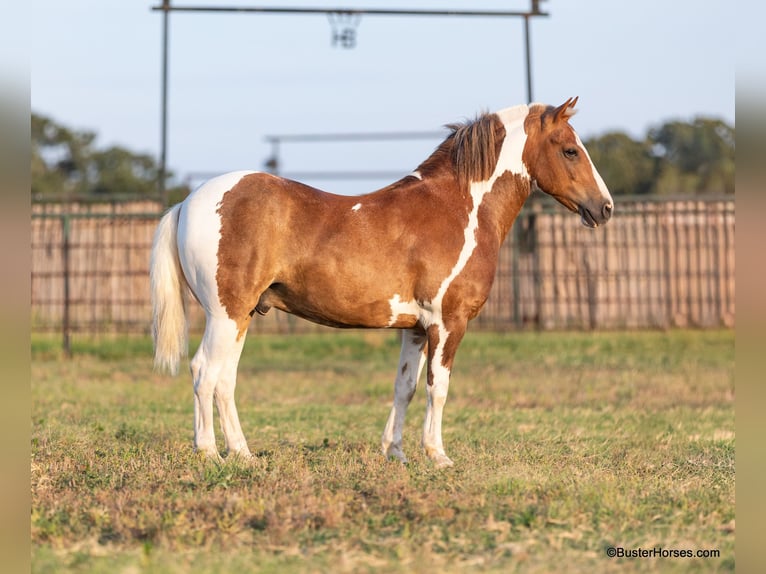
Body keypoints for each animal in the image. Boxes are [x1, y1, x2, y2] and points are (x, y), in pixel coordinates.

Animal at [150, 97, 613, 468]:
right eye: (570, 150)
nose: (605, 208)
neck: (459, 207)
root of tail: (188, 201)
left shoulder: (416, 329)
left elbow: (405, 387)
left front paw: (396, 453)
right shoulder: (448, 324)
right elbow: (438, 389)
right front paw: (438, 455)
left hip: (242, 316)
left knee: (224, 380)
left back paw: (244, 454)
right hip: (224, 315)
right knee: (204, 371)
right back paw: (209, 454)